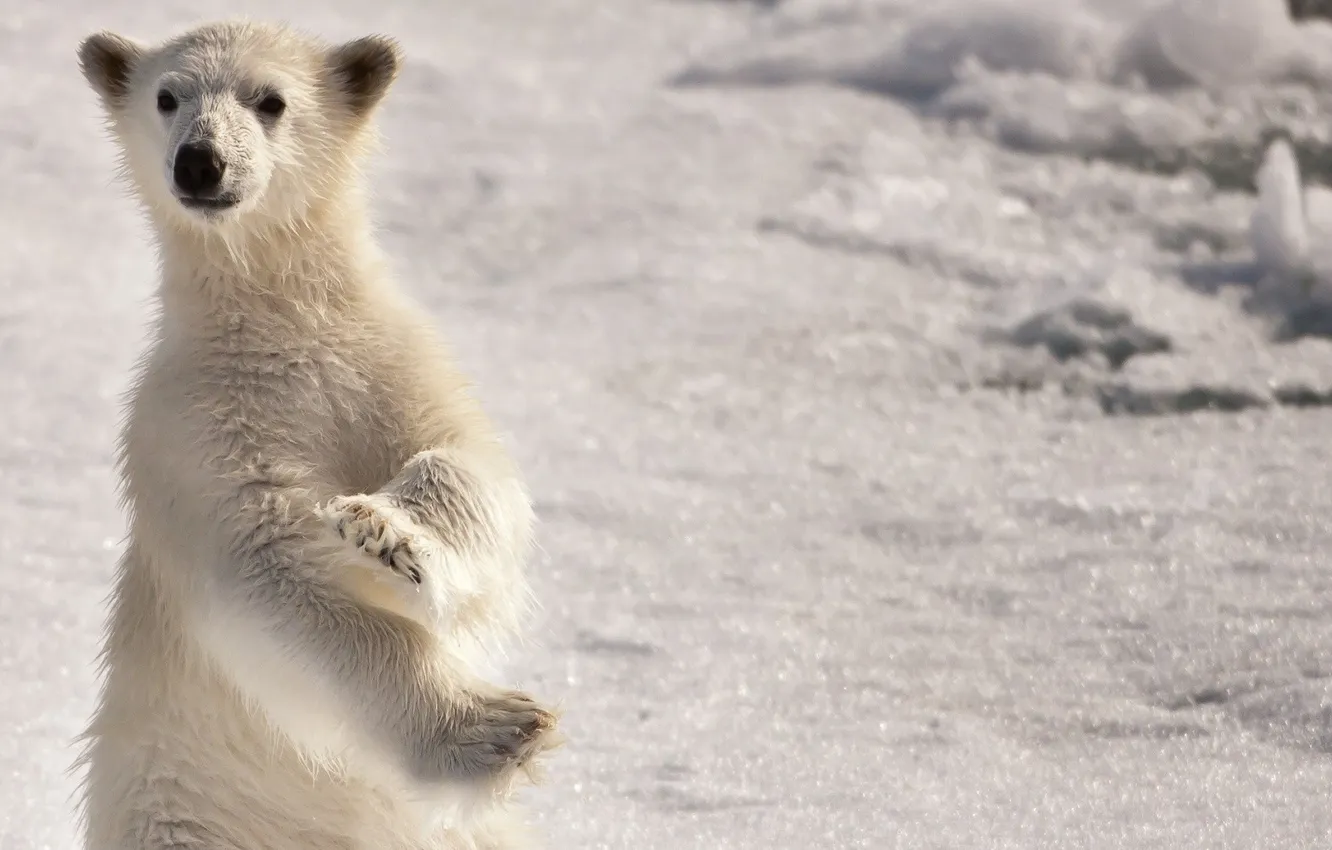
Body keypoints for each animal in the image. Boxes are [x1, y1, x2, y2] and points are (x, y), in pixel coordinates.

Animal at [74, 18, 562, 850]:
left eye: (270, 99)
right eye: (167, 96)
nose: (200, 161)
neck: (279, 324)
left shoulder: (392, 364)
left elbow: (469, 467)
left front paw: (385, 536)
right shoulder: (195, 430)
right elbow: (270, 573)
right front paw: (495, 729)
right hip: (186, 812)